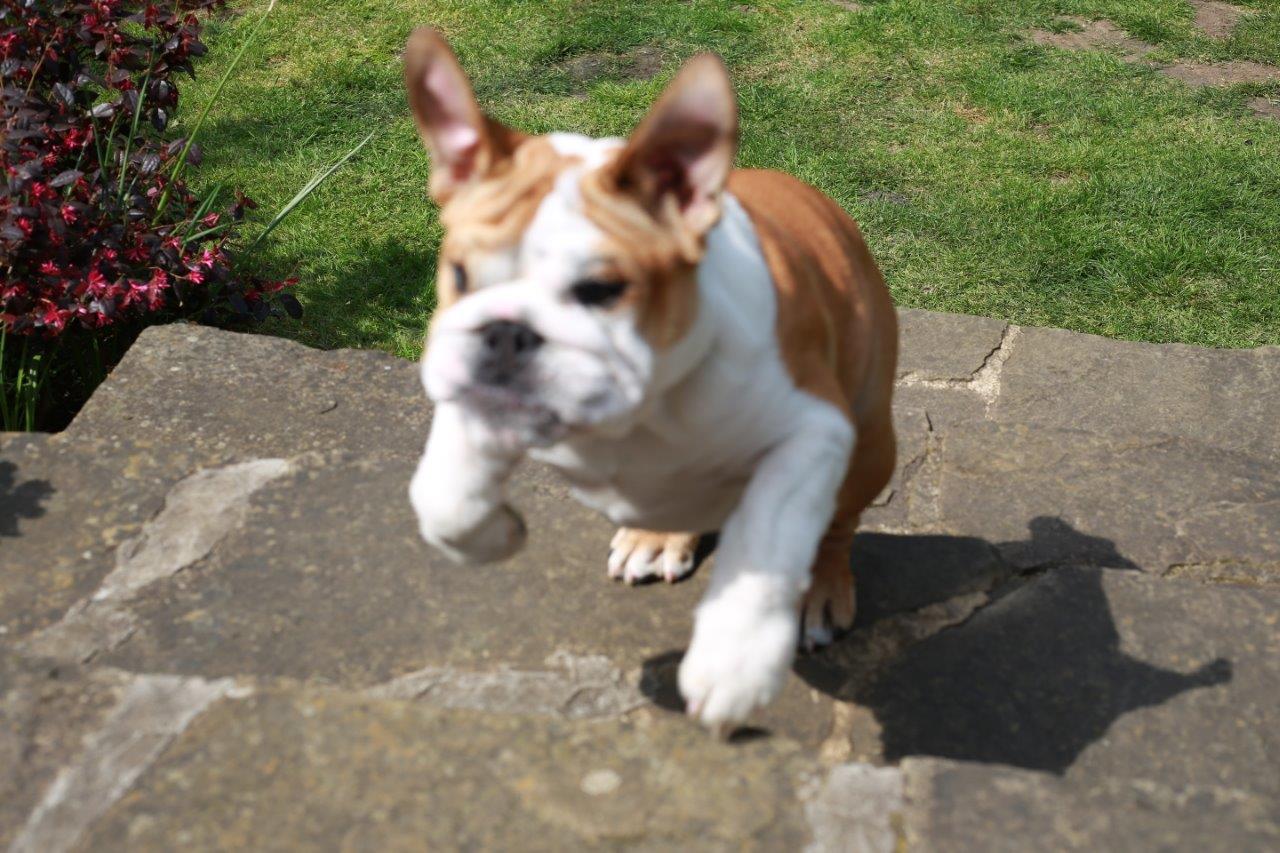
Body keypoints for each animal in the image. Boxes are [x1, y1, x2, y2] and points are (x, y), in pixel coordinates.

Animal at [404, 28, 896, 732]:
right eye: (460, 276)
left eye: (601, 290)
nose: (505, 332)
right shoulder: (467, 391)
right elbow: (443, 497)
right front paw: (492, 534)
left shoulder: (814, 432)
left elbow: (769, 539)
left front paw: (736, 661)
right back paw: (655, 538)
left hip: (870, 443)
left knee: (835, 524)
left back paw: (819, 592)